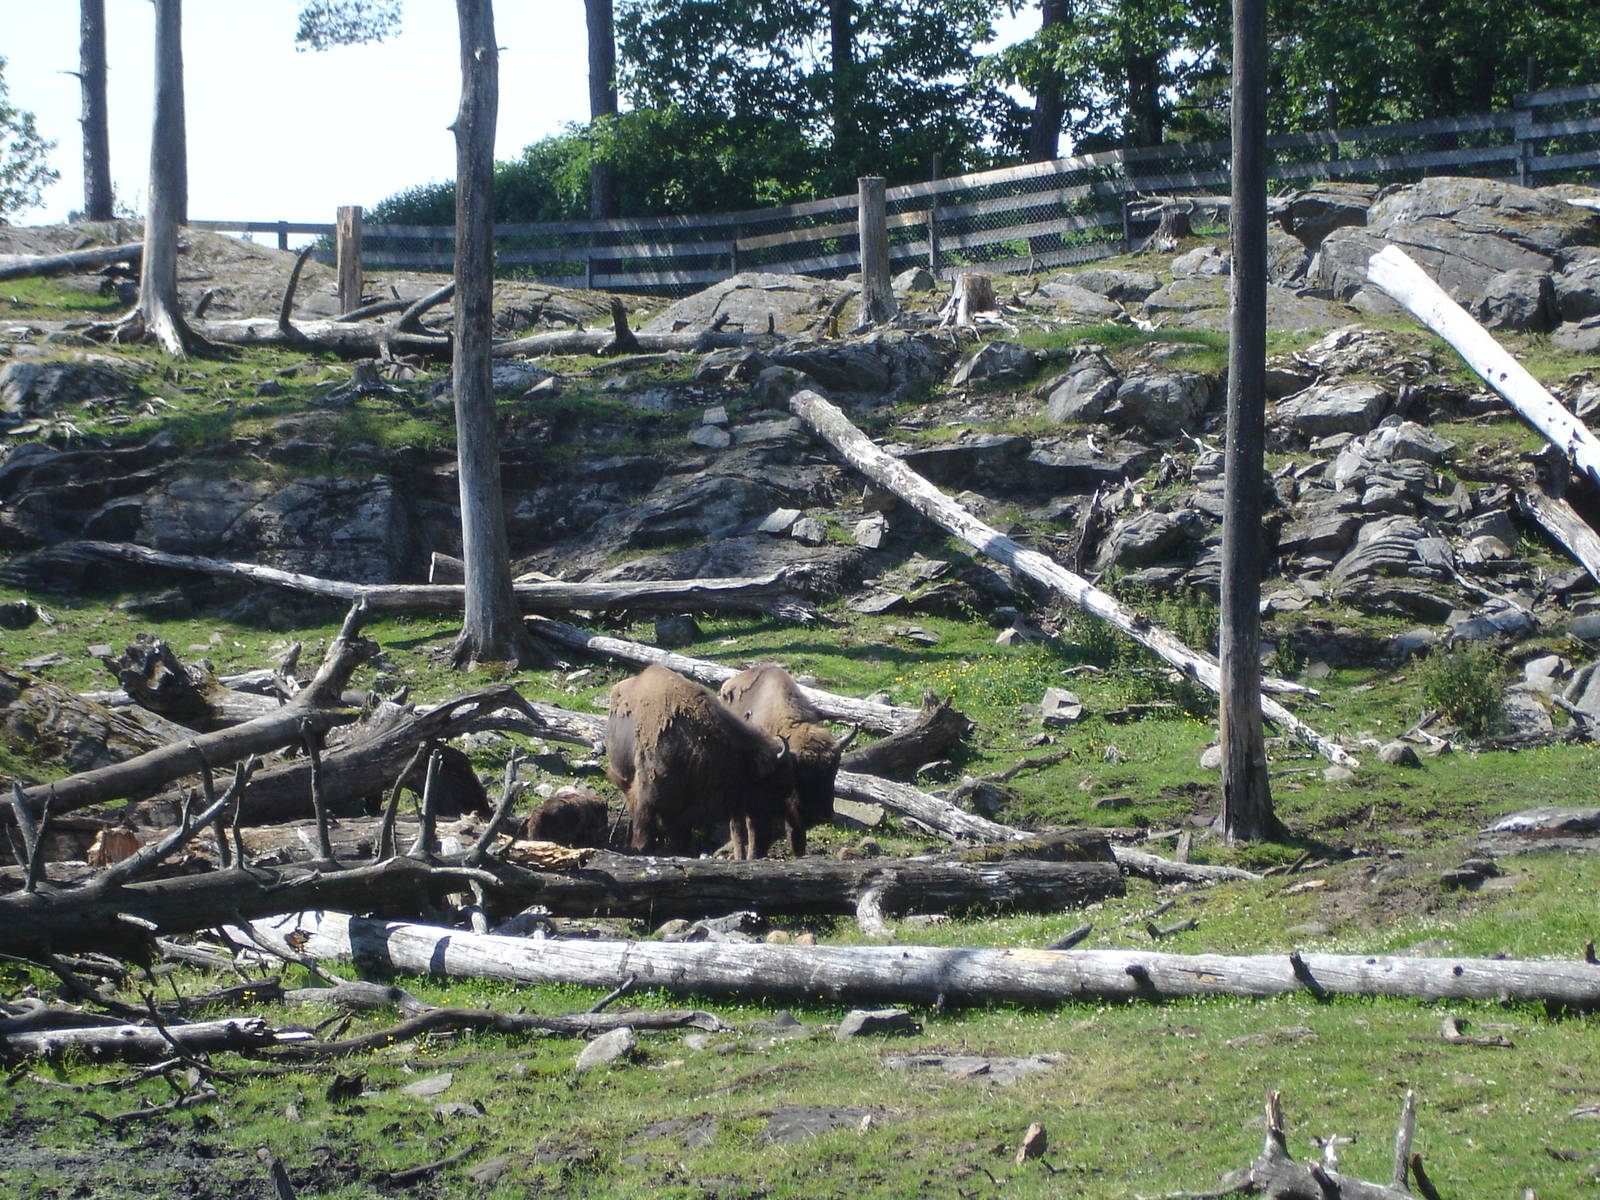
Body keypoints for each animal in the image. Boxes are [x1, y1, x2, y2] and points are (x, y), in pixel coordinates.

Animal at [604, 664, 797, 859]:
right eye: (770, 783)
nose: (772, 819)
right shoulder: (647, 795)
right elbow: (644, 826)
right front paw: (642, 849)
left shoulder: (683, 809)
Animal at [719, 664, 852, 856]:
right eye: (802, 777)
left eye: (833, 773)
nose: (821, 815)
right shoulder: (758, 809)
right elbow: (755, 839)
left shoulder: (793, 817)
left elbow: (796, 839)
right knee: (737, 829)